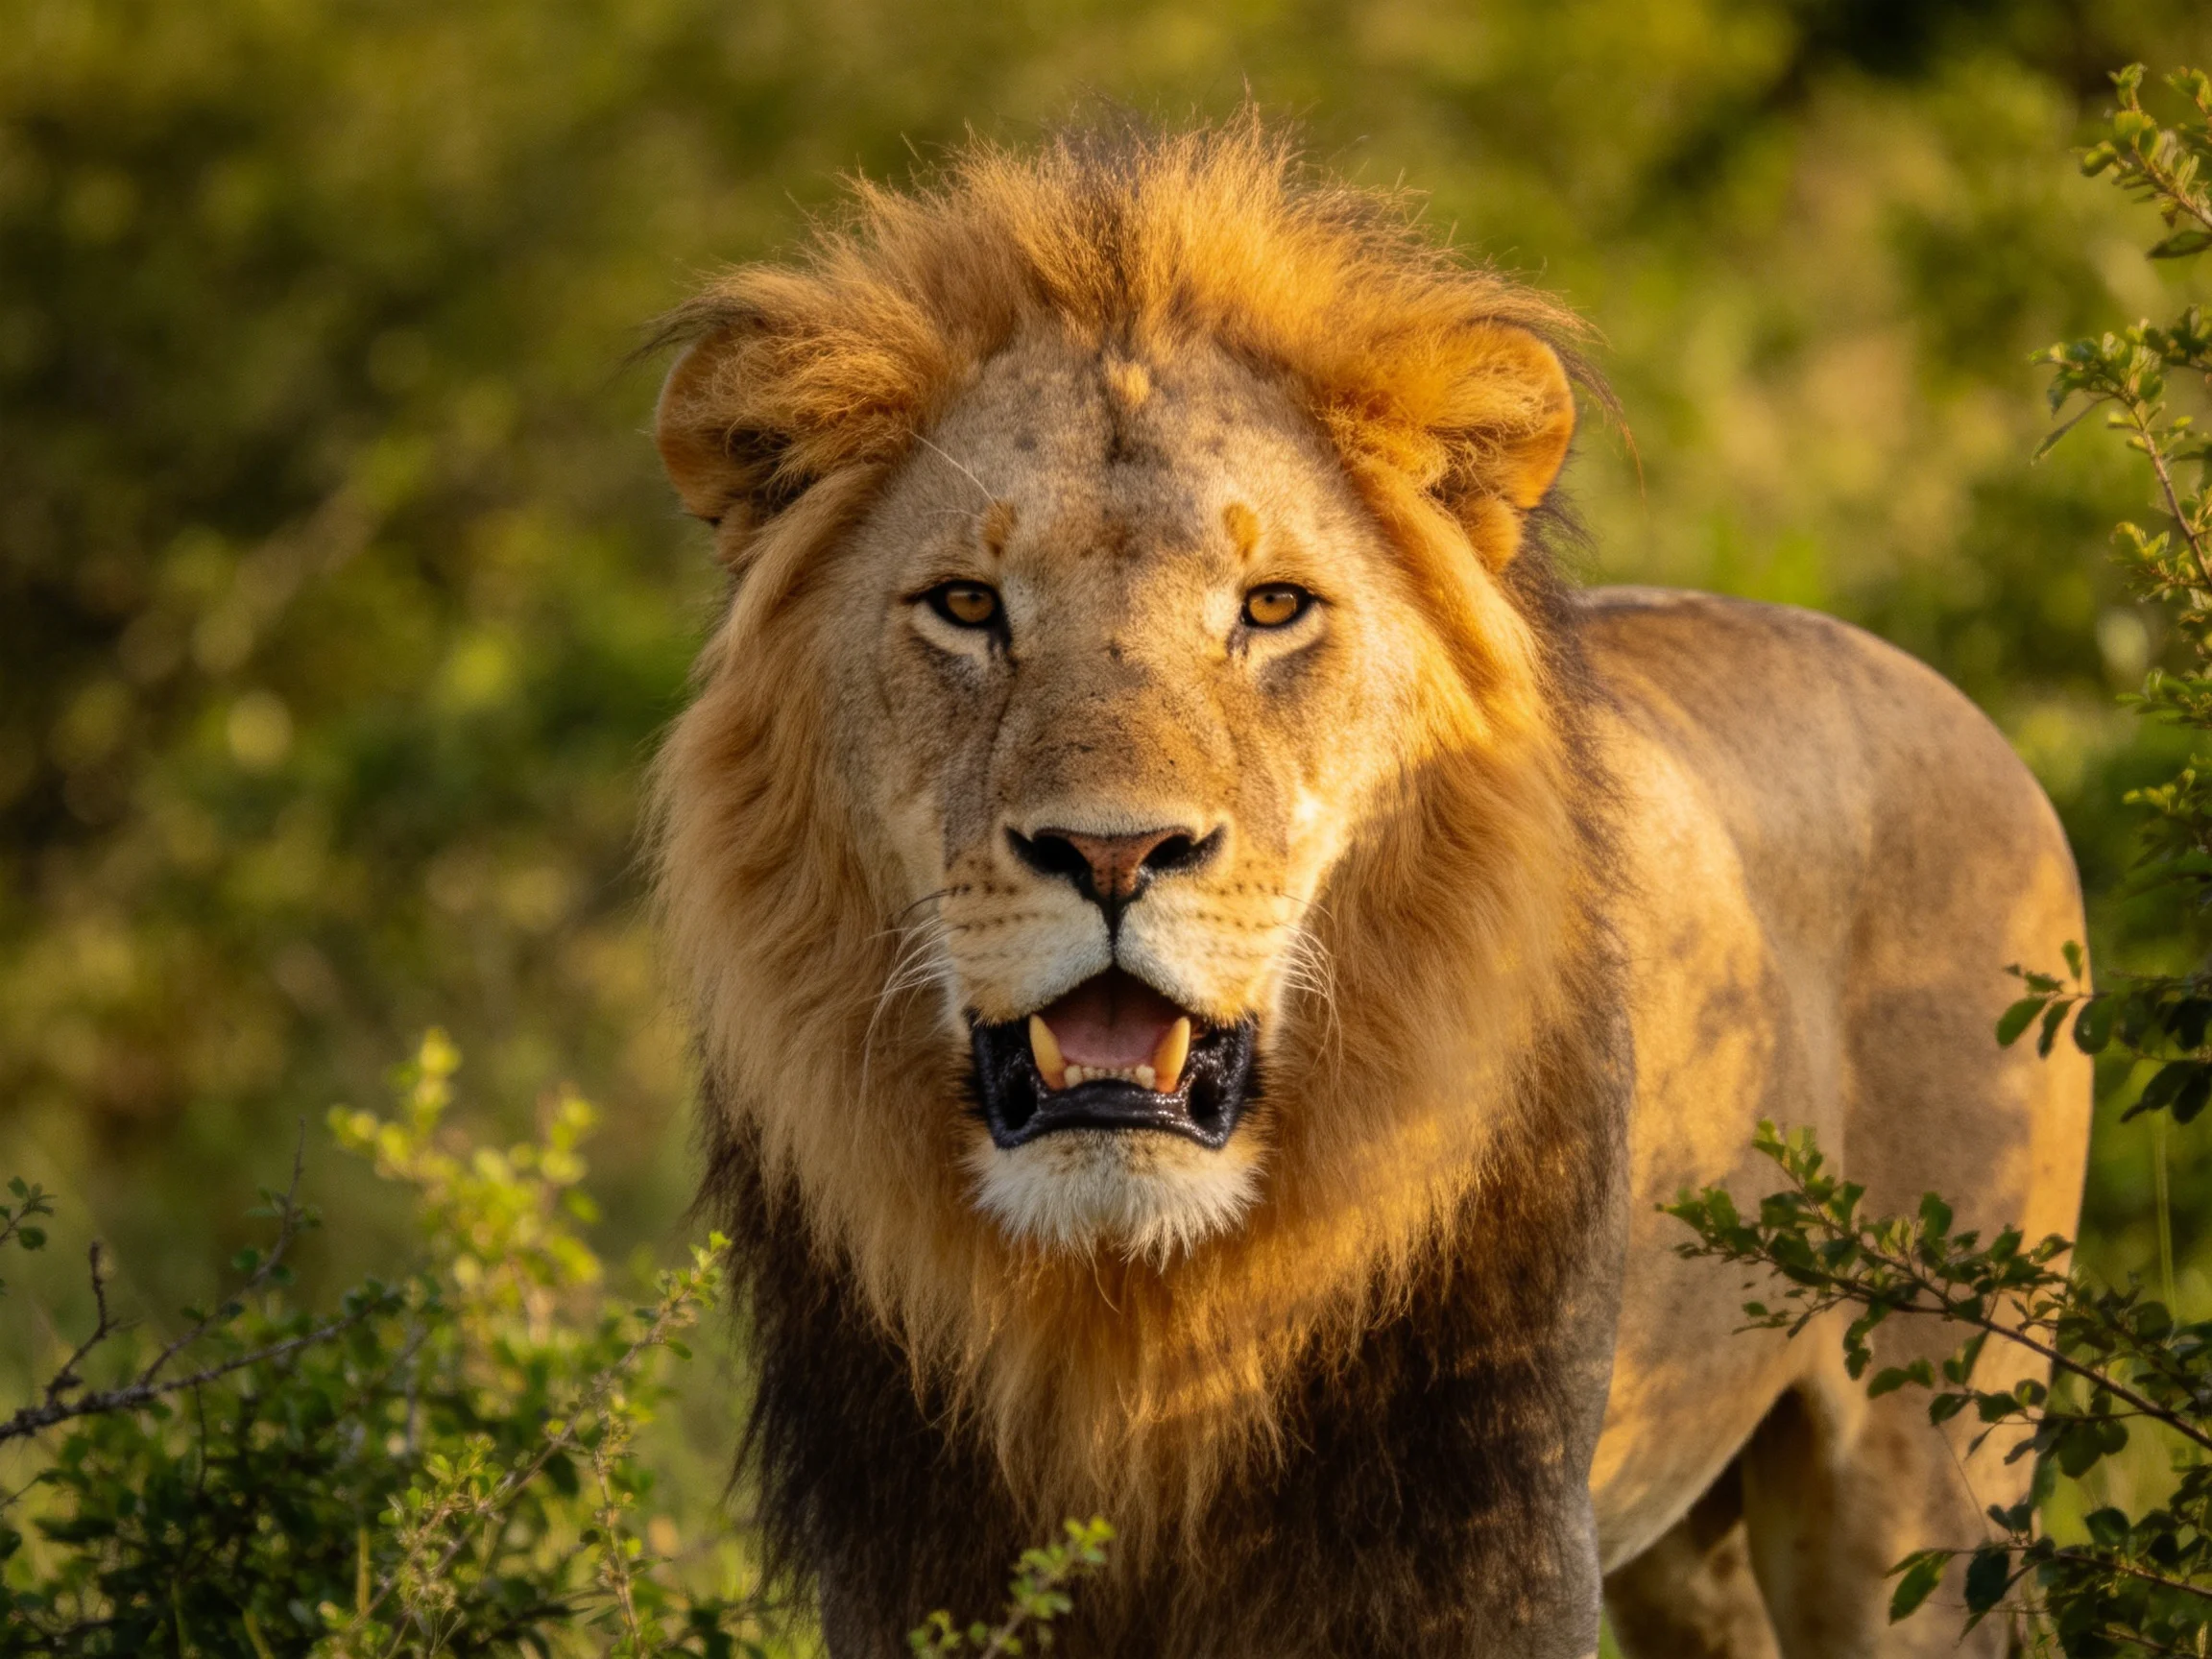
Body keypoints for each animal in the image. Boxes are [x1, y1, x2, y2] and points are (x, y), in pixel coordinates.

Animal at [647, 119, 2091, 1658]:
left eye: (1272, 607)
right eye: (968, 607)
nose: (1114, 854)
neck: (1134, 1311)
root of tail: (1957, 704)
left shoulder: (1484, 1549)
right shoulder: (918, 1571)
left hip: (1913, 1479)